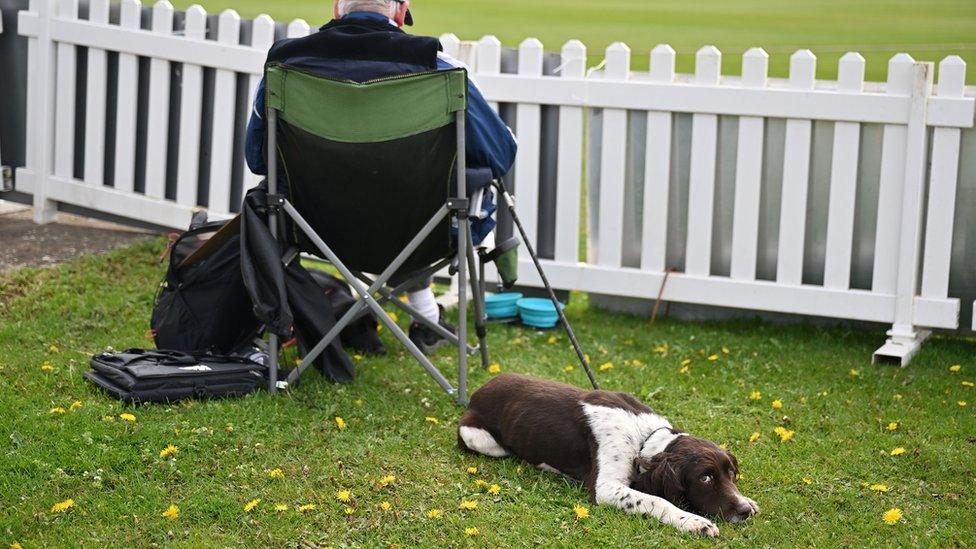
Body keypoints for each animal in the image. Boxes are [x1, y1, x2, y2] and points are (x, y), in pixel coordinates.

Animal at [460, 372, 764, 536]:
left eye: (731, 473)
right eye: (704, 478)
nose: (743, 511)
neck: (643, 437)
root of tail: (478, 391)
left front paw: (749, 500)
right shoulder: (606, 488)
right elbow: (657, 501)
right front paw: (693, 522)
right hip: (477, 438)